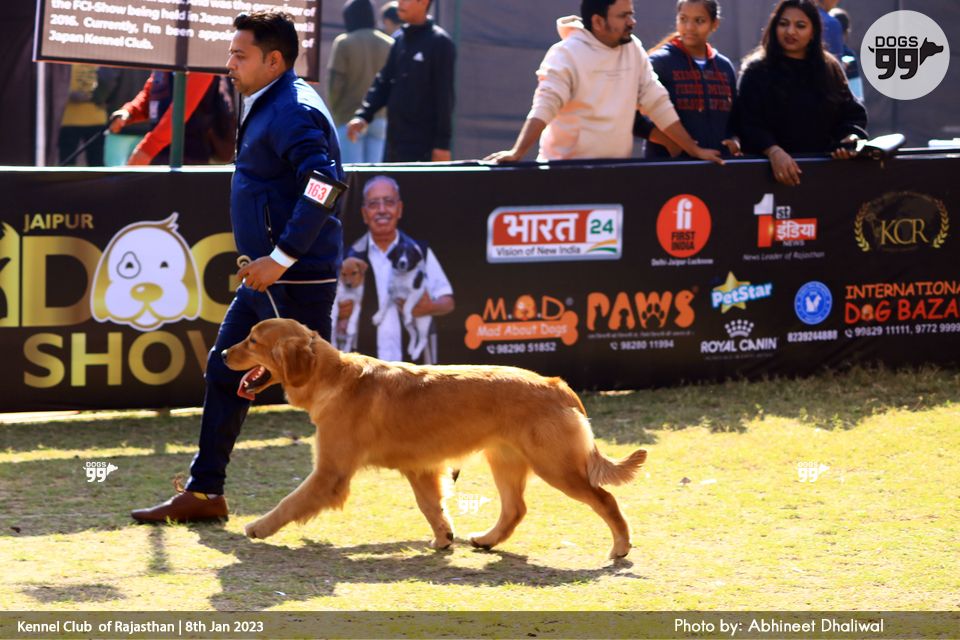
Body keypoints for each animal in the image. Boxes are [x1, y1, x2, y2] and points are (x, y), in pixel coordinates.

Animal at [222, 318, 648, 559]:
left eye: (253, 340)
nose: (223, 352)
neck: (334, 376)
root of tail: (557, 385)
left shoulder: (330, 473)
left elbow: (290, 503)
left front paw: (258, 527)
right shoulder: (421, 468)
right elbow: (431, 508)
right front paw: (444, 539)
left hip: (555, 466)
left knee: (605, 499)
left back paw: (621, 547)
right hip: (505, 460)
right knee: (515, 509)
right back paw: (488, 539)